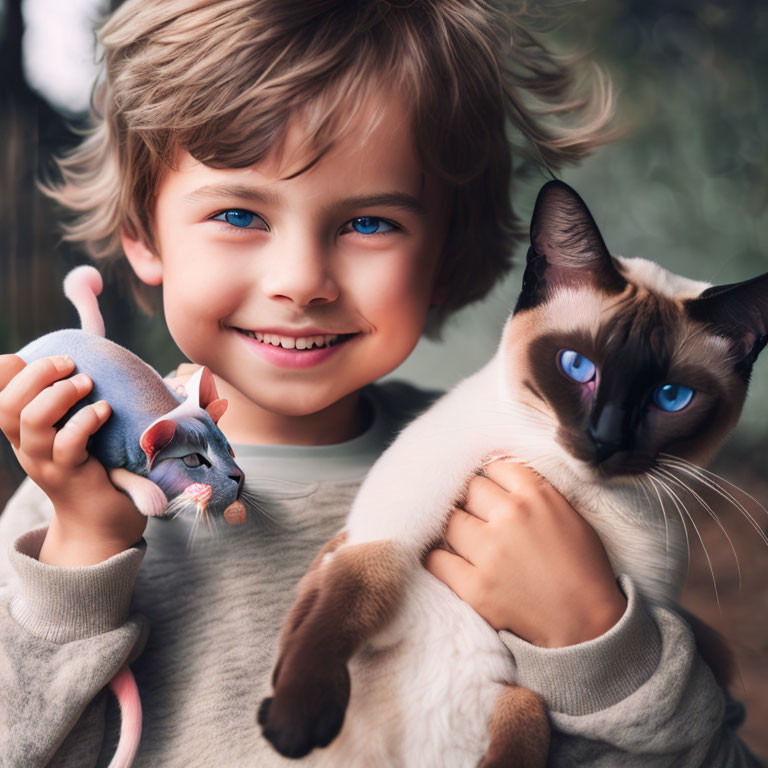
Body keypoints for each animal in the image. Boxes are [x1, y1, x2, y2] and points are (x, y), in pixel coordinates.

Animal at [260, 182, 768, 768]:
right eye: (577, 366)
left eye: (671, 396)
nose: (605, 440)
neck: (565, 481)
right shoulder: (385, 535)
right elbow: (340, 606)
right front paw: (294, 723)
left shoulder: (650, 603)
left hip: (519, 704)